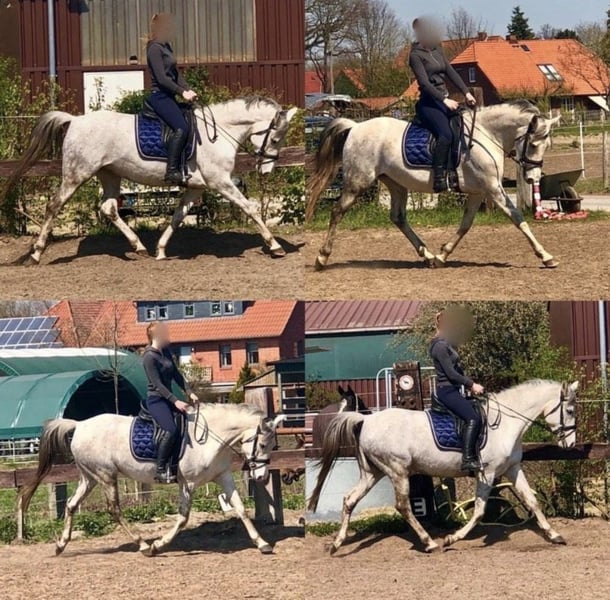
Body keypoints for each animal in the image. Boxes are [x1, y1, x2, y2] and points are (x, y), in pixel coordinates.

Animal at [2, 97, 298, 264]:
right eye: (275, 138)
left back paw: (139, 246)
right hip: (77, 174)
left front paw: (161, 250)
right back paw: (36, 253)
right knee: (54, 206)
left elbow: (177, 217)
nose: (266, 170)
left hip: (109, 174)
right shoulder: (220, 183)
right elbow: (250, 208)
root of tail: (75, 121)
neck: (219, 131)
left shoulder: (196, 188)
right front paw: (274, 246)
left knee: (109, 208)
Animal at [20, 403, 285, 556]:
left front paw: (262, 543)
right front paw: (159, 544)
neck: (210, 437)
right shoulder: (188, 484)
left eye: (274, 445)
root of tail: (80, 425)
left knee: (71, 505)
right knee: (114, 509)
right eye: (262, 444)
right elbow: (182, 518)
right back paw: (144, 545)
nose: (261, 476)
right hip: (106, 476)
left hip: (90, 477)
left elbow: (240, 509)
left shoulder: (223, 476)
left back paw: (61, 545)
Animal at [306, 100, 561, 270]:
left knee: (398, 217)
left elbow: (466, 224)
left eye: (547, 145)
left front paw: (442, 255)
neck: (487, 135)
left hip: (396, 183)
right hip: (357, 182)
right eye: (534, 144)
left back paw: (427, 255)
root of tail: (355, 127)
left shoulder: (479, 191)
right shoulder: (492, 188)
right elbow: (518, 218)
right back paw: (321, 258)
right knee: (337, 211)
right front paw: (546, 256)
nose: (533, 178)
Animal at [308, 379, 578, 554]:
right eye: (570, 410)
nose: (571, 444)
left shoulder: (512, 468)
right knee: (403, 506)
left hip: (372, 473)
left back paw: (337, 544)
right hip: (397, 471)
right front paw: (452, 538)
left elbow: (532, 501)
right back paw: (430, 543)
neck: (504, 424)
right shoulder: (488, 472)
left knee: (349, 500)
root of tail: (367, 420)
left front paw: (554, 535)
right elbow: (479, 510)